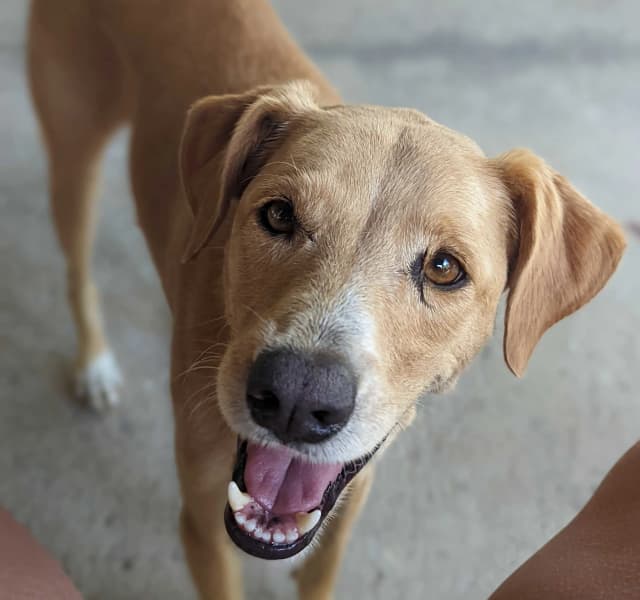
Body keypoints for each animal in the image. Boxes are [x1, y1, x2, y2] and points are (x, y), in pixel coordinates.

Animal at [26, 1, 624, 600]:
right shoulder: (201, 524)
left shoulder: (349, 500)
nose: (296, 398)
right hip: (73, 150)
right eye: (278, 214)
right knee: (77, 268)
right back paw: (94, 365)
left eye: (444, 268)